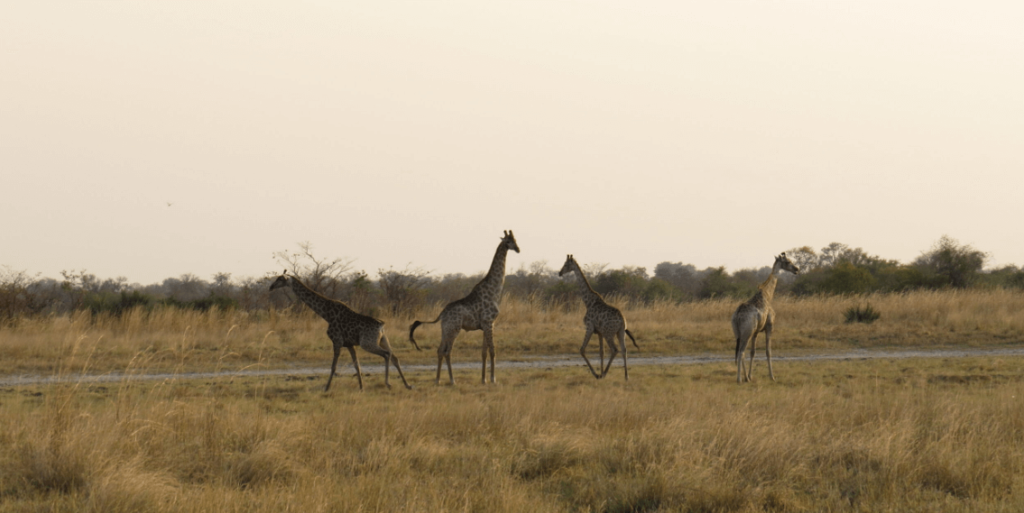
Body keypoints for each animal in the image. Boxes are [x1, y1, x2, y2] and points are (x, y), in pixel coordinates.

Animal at [272, 274, 415, 389]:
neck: (326, 314)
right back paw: (407, 385)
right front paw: (361, 387)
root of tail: (381, 325)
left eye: (280, 279)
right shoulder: (349, 344)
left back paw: (388, 383)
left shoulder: (337, 341)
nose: (271, 287)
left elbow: (333, 366)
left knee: (386, 354)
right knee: (394, 357)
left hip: (367, 343)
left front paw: (326, 388)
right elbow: (357, 365)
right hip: (382, 339)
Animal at [407, 231, 520, 385]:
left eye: (515, 239)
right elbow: (492, 350)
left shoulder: (487, 325)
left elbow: (483, 352)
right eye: (508, 241)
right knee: (447, 351)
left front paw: (483, 379)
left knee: (440, 350)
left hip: (445, 329)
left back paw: (437, 380)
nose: (518, 249)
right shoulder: (489, 323)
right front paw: (493, 379)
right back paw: (452, 380)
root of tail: (442, 314)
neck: (495, 291)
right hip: (454, 329)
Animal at [733, 251, 802, 380]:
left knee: (740, 351)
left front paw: (750, 375)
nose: (797, 269)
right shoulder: (770, 326)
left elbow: (753, 352)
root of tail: (737, 315)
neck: (767, 295)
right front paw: (772, 376)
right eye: (788, 261)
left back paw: (745, 378)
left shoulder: (756, 331)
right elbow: (768, 351)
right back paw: (739, 379)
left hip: (738, 333)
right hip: (747, 332)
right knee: (741, 352)